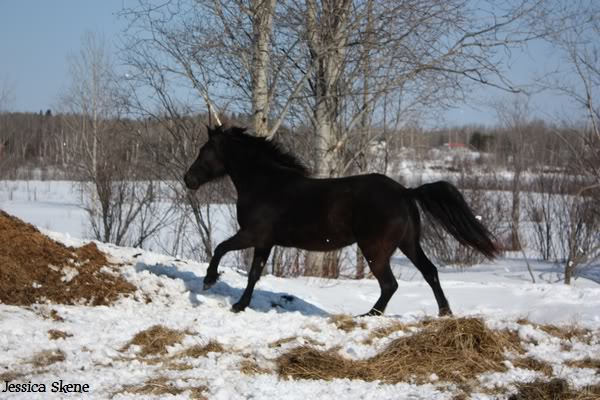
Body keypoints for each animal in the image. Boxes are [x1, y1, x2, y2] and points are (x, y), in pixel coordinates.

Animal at [183, 125, 496, 316]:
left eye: (204, 151)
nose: (188, 180)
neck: (266, 184)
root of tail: (405, 192)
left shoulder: (252, 234)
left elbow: (221, 248)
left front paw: (209, 281)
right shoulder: (265, 242)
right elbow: (254, 274)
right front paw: (240, 305)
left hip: (375, 250)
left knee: (390, 284)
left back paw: (369, 315)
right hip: (408, 244)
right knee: (429, 272)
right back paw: (444, 312)